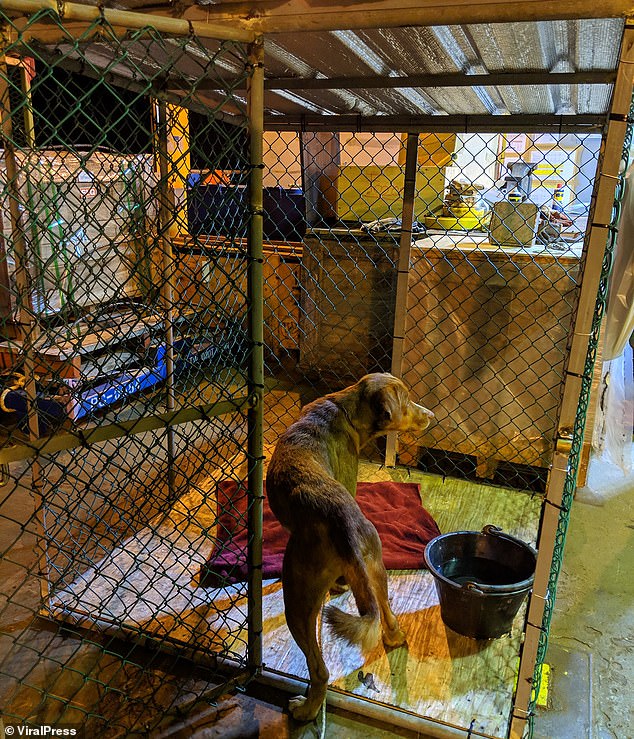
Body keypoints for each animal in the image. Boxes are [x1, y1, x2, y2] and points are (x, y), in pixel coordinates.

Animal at [264, 372, 432, 720]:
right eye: (408, 400)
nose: (431, 416)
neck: (346, 408)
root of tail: (342, 523)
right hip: (376, 567)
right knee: (387, 617)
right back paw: (394, 637)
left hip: (297, 601)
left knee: (320, 671)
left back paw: (306, 710)